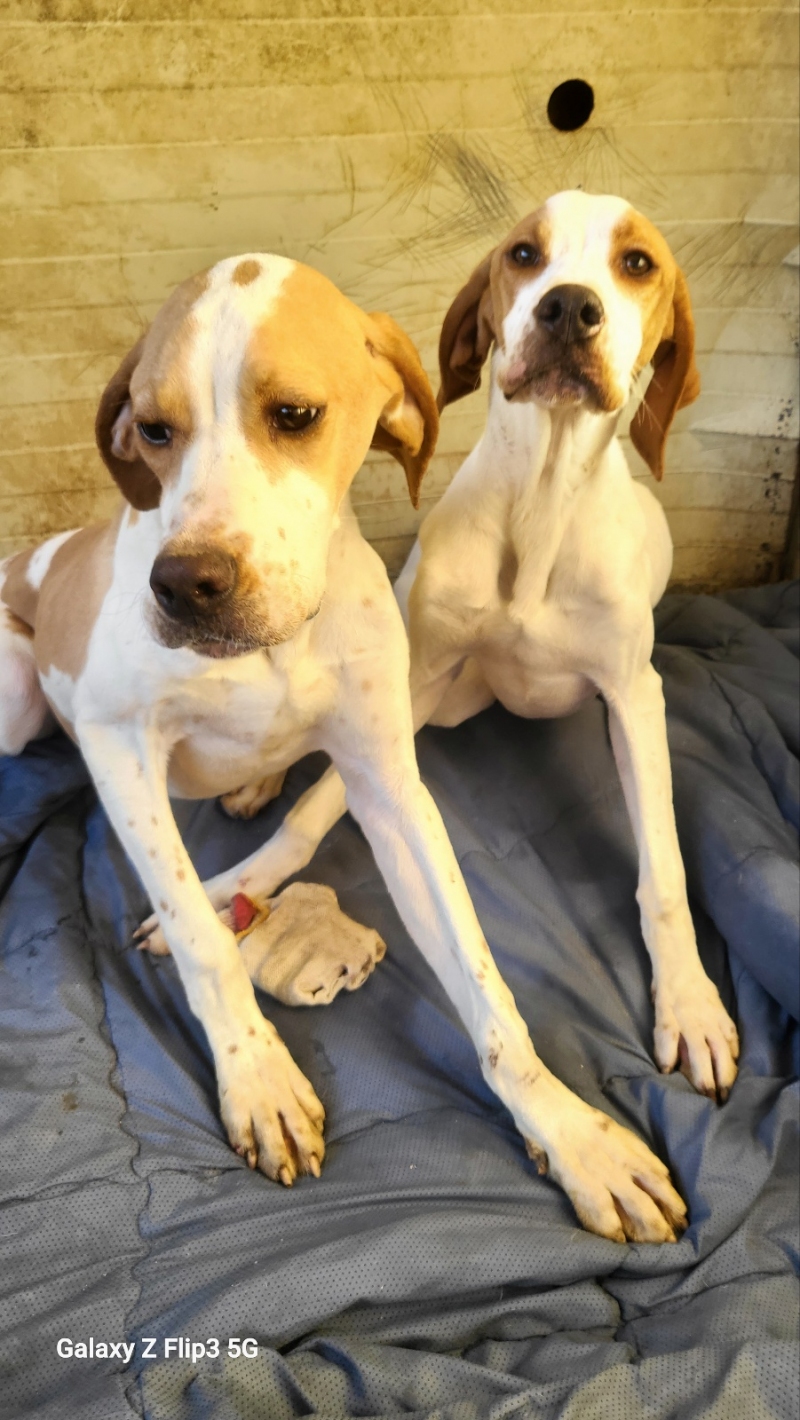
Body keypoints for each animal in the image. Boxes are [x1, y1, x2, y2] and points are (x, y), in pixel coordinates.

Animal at [1, 248, 687, 1244]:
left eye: (294, 415)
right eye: (155, 429)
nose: (184, 585)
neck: (272, 648)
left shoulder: (391, 784)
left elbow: (484, 982)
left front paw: (572, 1134)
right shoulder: (115, 746)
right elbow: (202, 938)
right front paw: (259, 1076)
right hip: (17, 692)